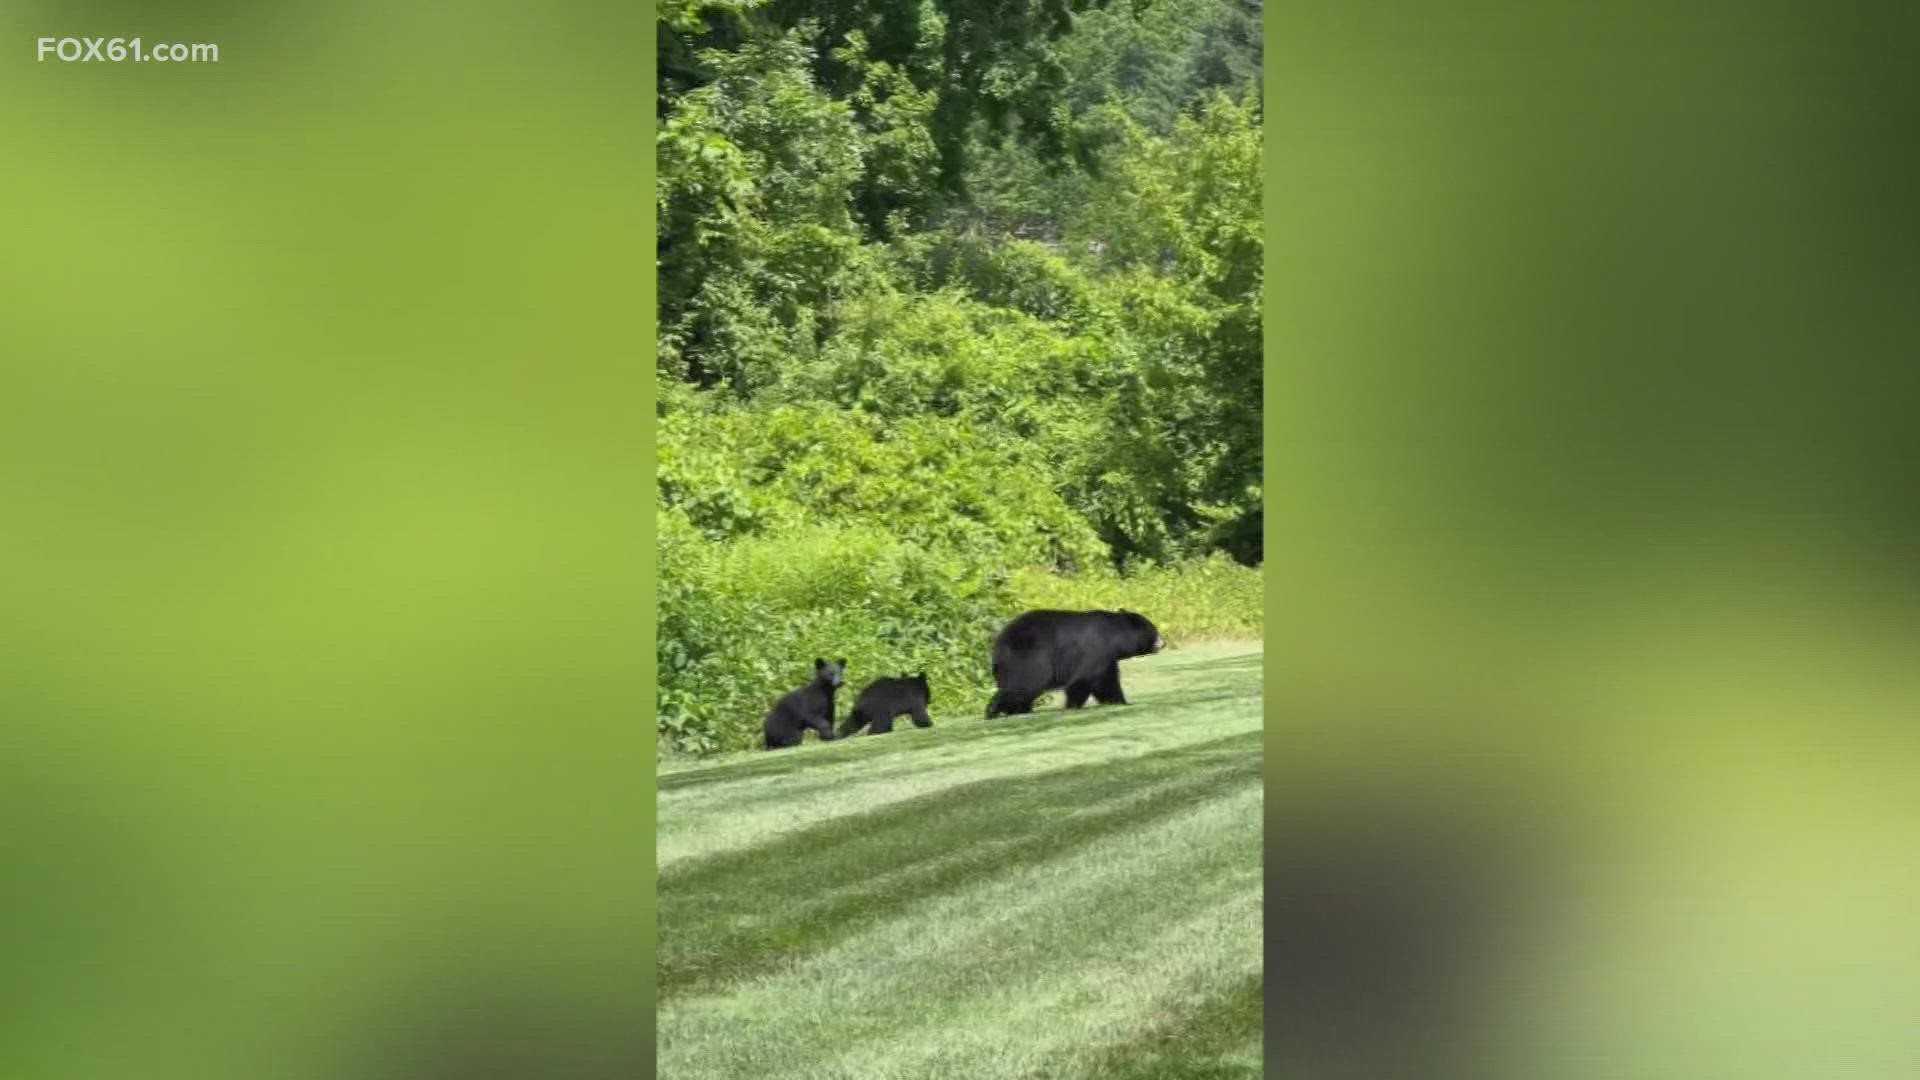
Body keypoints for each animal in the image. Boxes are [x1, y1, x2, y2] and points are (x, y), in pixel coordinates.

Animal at [983, 607, 1159, 714]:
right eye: (1154, 630)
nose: (1162, 642)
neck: (1113, 637)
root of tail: (997, 647)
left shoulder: (1107, 657)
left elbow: (1107, 681)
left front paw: (1119, 701)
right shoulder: (1095, 649)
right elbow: (1084, 678)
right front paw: (1072, 706)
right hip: (1028, 657)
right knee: (1024, 685)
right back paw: (994, 711)